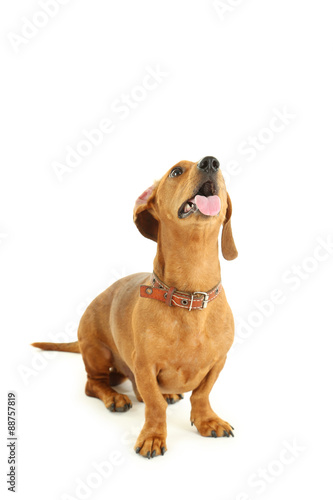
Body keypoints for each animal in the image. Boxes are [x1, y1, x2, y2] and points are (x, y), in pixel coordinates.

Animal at [32, 156, 237, 458]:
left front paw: (207, 420)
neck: (190, 296)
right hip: (97, 352)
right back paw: (115, 398)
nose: (210, 162)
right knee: (94, 384)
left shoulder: (218, 362)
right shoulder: (144, 366)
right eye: (176, 171)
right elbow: (154, 404)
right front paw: (153, 436)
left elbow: (201, 395)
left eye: (222, 172)